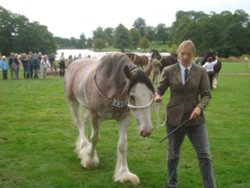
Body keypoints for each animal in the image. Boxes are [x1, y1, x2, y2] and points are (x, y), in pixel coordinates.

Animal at [64, 52, 154, 184]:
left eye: (151, 95)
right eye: (132, 96)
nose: (146, 131)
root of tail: (74, 63)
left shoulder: (124, 118)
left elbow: (122, 145)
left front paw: (124, 173)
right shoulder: (95, 116)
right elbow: (95, 138)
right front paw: (90, 161)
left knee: (84, 121)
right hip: (73, 102)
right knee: (79, 124)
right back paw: (84, 147)